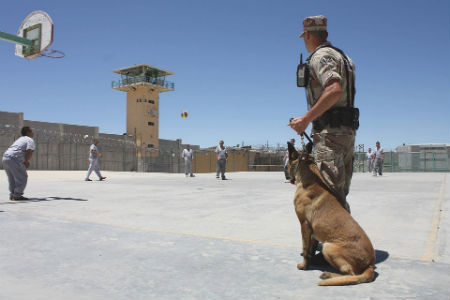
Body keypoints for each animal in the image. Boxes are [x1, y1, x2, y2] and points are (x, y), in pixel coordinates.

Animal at [288, 143, 376, 286]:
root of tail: (371, 264)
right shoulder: (312, 231)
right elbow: (311, 248)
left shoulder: (304, 225)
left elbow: (305, 249)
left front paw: (304, 266)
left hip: (329, 247)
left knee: (351, 274)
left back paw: (329, 275)